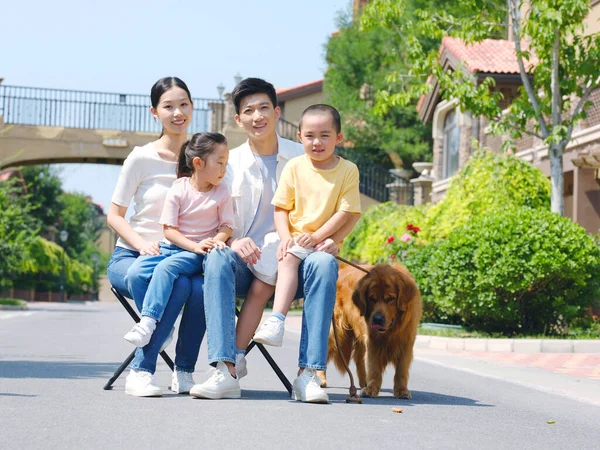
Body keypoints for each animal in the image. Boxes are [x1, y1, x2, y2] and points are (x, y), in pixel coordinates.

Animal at [318, 262, 422, 400]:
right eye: (372, 298)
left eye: (390, 299)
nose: (377, 319)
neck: (391, 330)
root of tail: (342, 266)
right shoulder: (373, 341)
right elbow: (374, 368)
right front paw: (372, 388)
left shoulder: (406, 342)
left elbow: (401, 370)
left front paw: (401, 390)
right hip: (336, 332)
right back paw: (321, 378)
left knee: (358, 358)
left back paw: (363, 383)